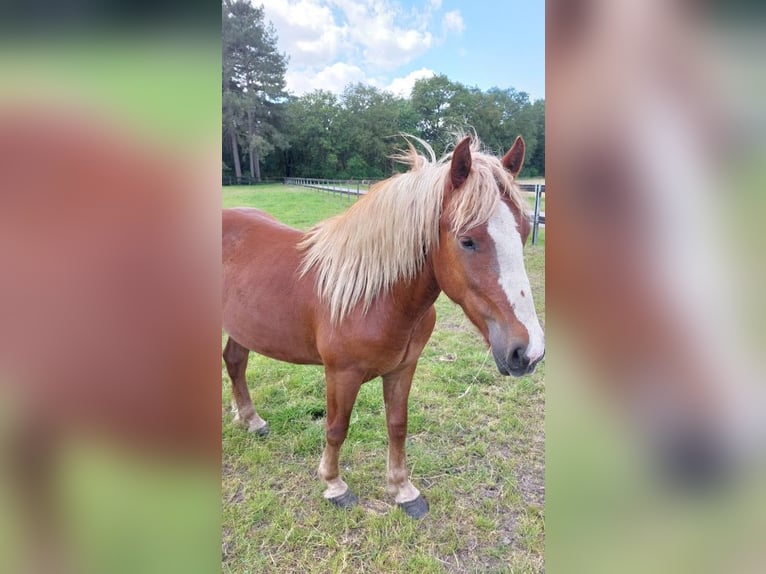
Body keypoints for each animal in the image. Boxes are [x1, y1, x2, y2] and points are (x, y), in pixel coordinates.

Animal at [222, 136, 544, 520]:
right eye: (467, 240)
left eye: (524, 232)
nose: (528, 352)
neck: (374, 295)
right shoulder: (341, 374)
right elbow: (336, 428)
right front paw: (334, 485)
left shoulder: (403, 368)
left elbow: (397, 426)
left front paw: (403, 490)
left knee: (235, 362)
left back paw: (250, 420)